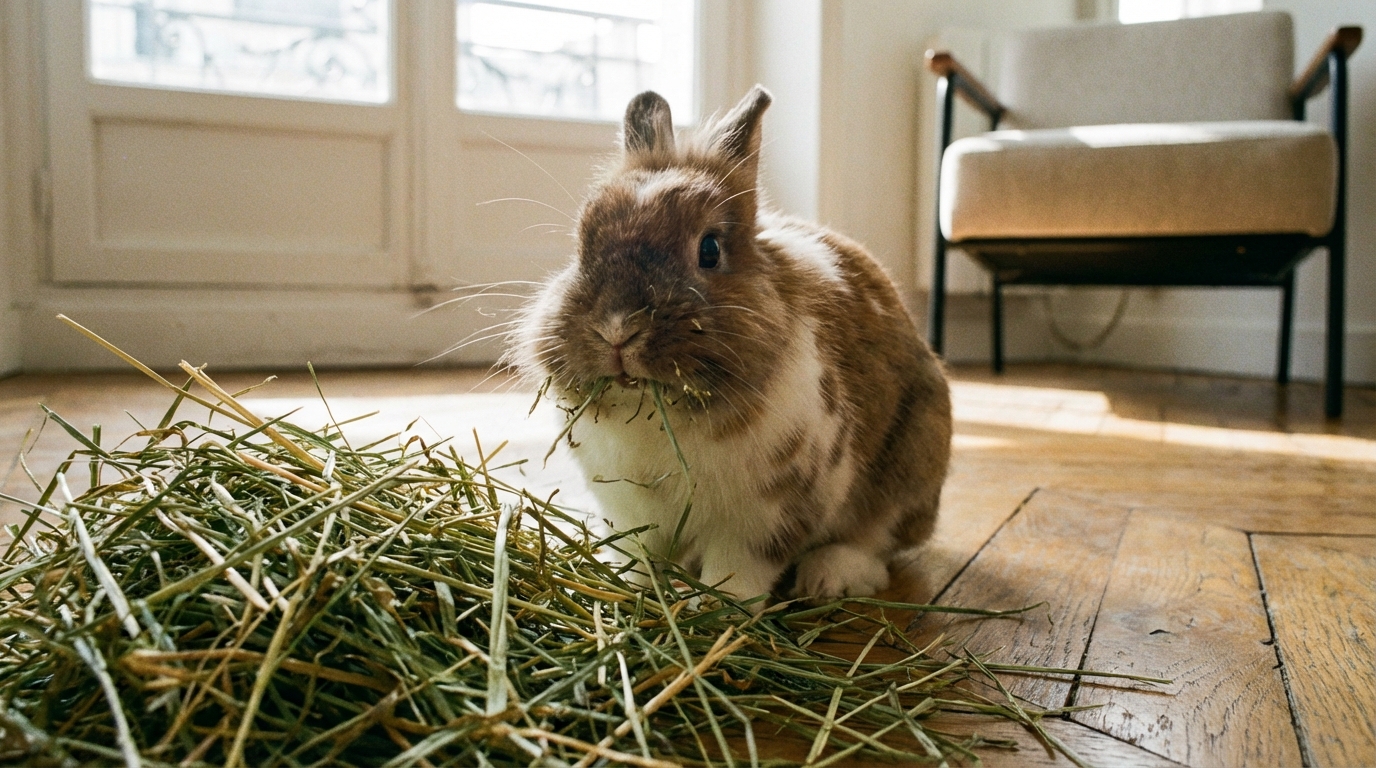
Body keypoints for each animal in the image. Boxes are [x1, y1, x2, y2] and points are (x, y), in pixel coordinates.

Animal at [507, 85, 952, 606]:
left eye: (710, 250)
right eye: (581, 244)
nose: (617, 330)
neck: (657, 411)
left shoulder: (762, 519)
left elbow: (737, 572)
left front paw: (721, 606)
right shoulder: (629, 512)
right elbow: (638, 557)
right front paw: (625, 590)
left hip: (914, 461)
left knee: (877, 538)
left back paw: (831, 576)